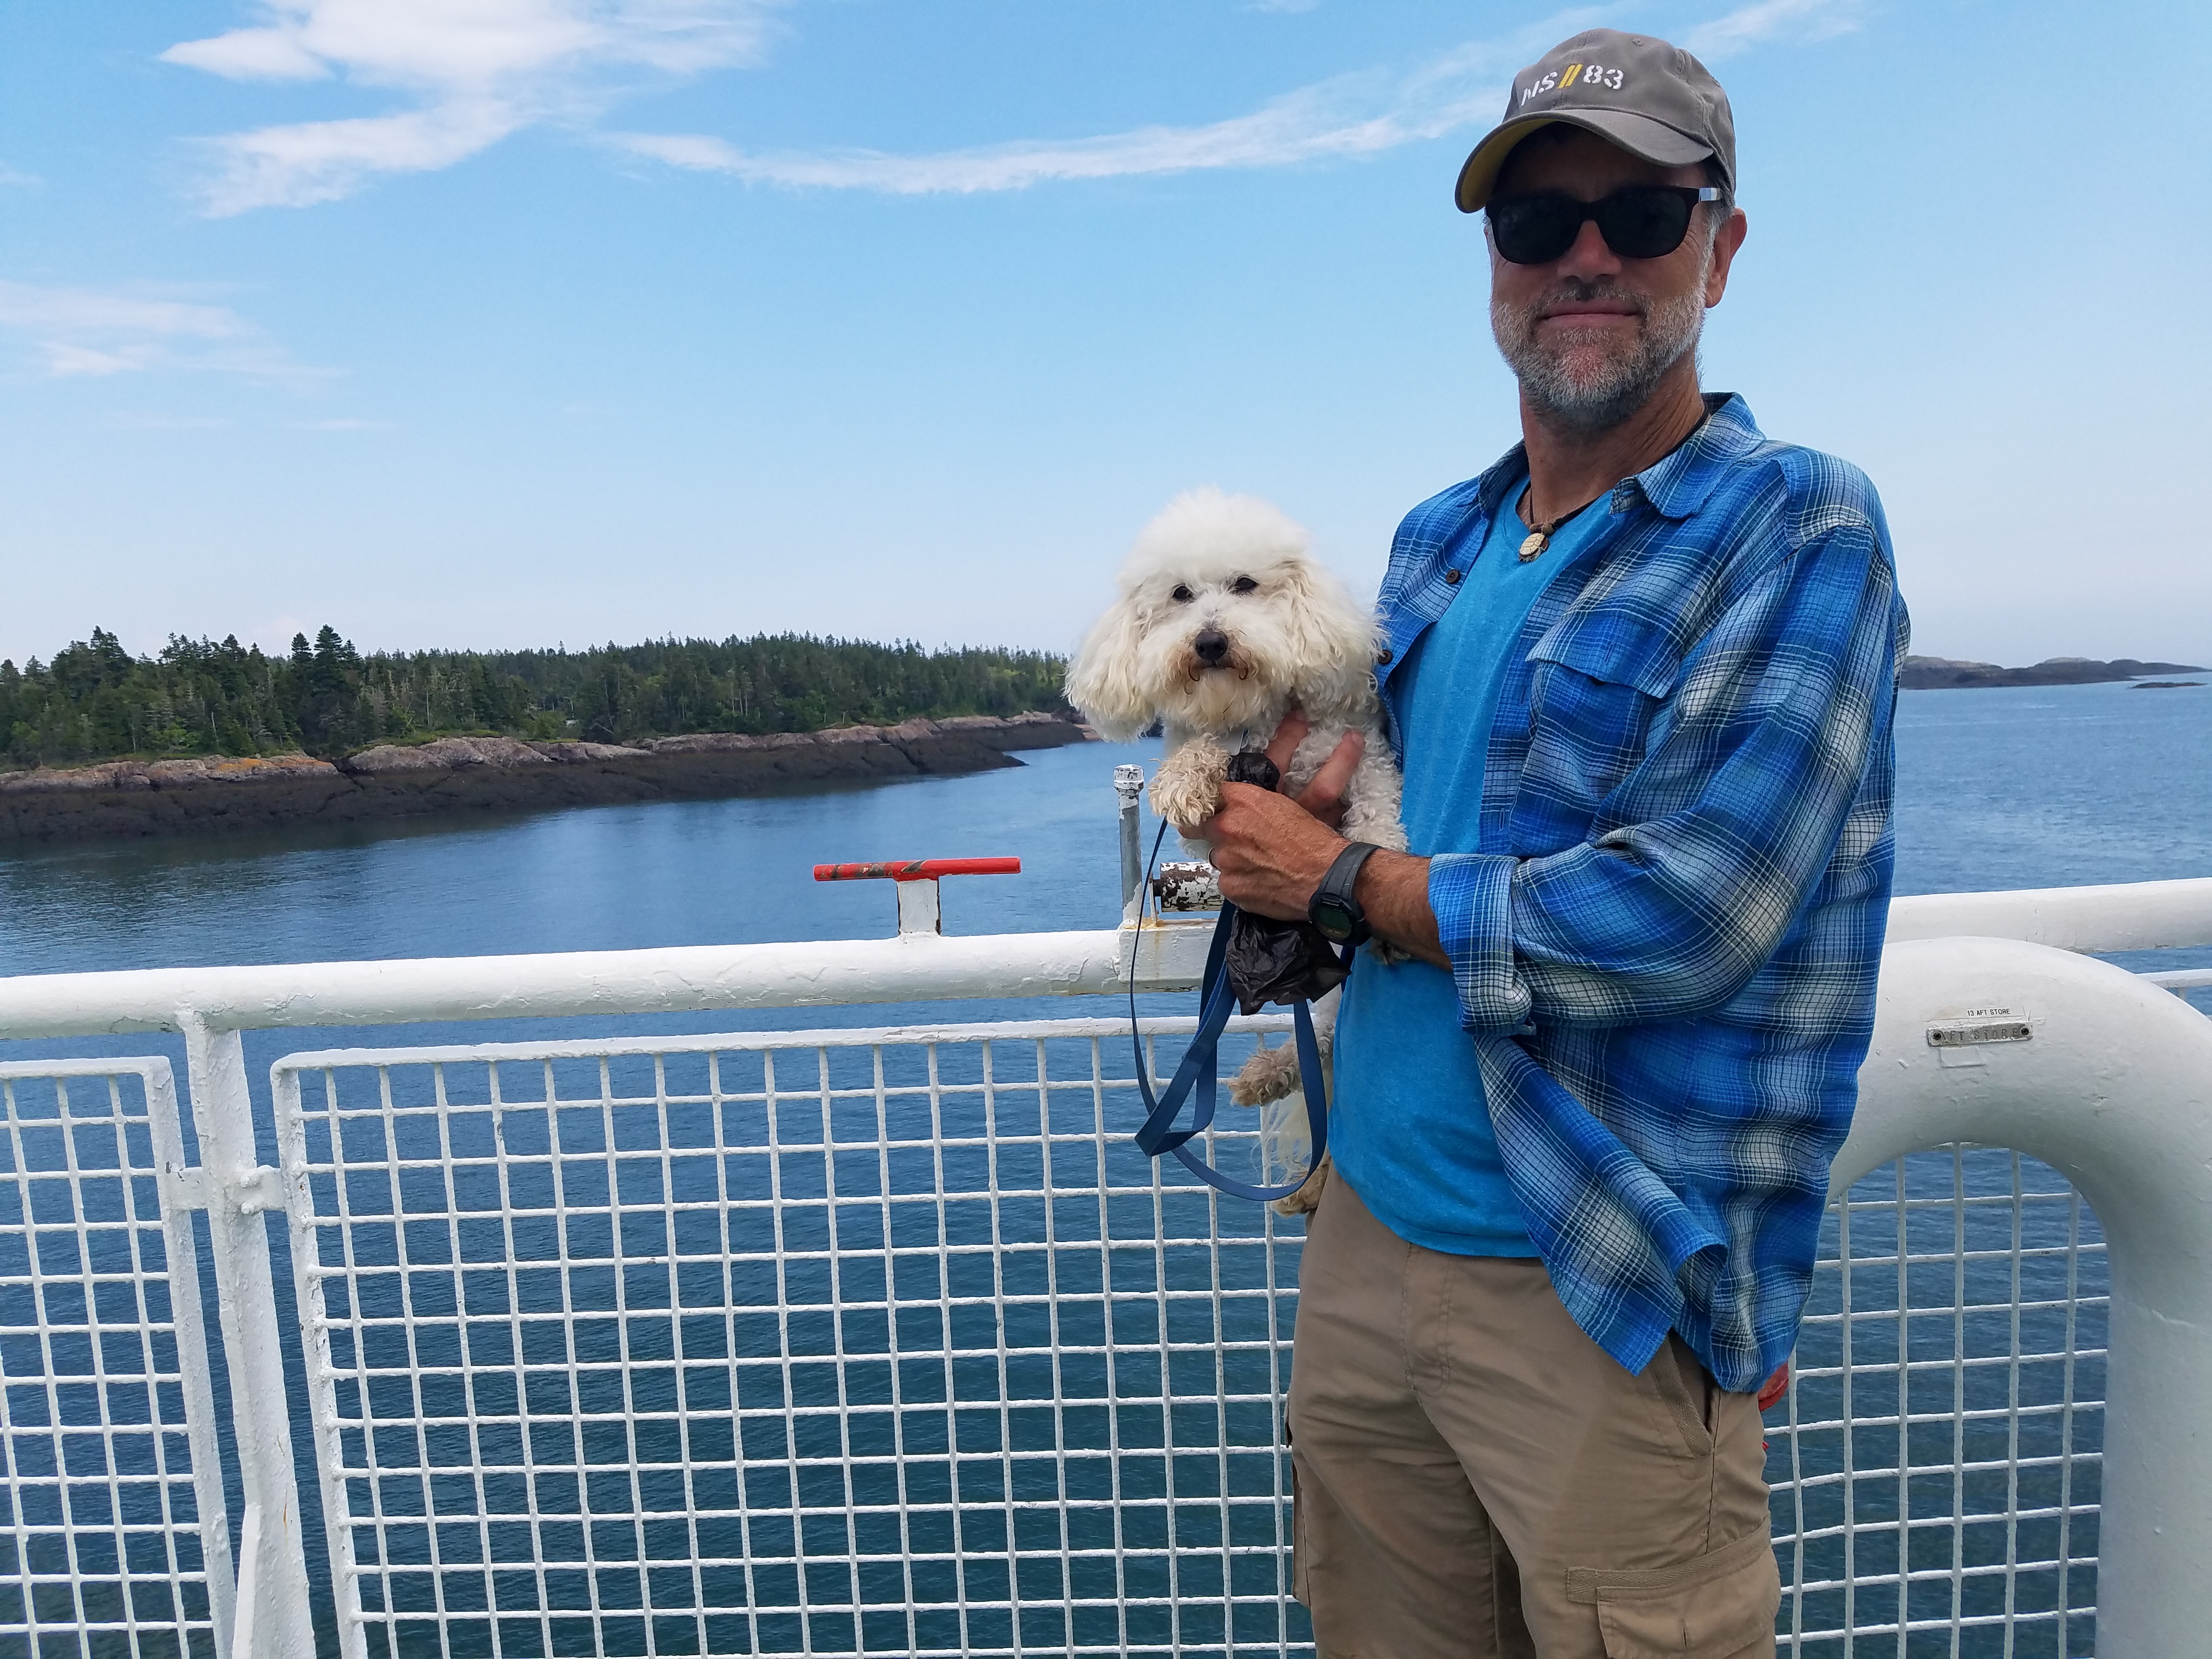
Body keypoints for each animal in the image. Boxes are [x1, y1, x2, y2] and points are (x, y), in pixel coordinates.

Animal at [1066, 487, 1407, 1212]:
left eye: (1247, 585)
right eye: (1180, 594)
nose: (1211, 641)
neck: (1253, 717)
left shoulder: (1360, 754)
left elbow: (1376, 816)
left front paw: (1377, 851)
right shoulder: (1208, 829)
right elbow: (1200, 755)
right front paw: (1187, 776)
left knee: (1326, 1040)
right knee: (1323, 1044)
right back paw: (1269, 1079)